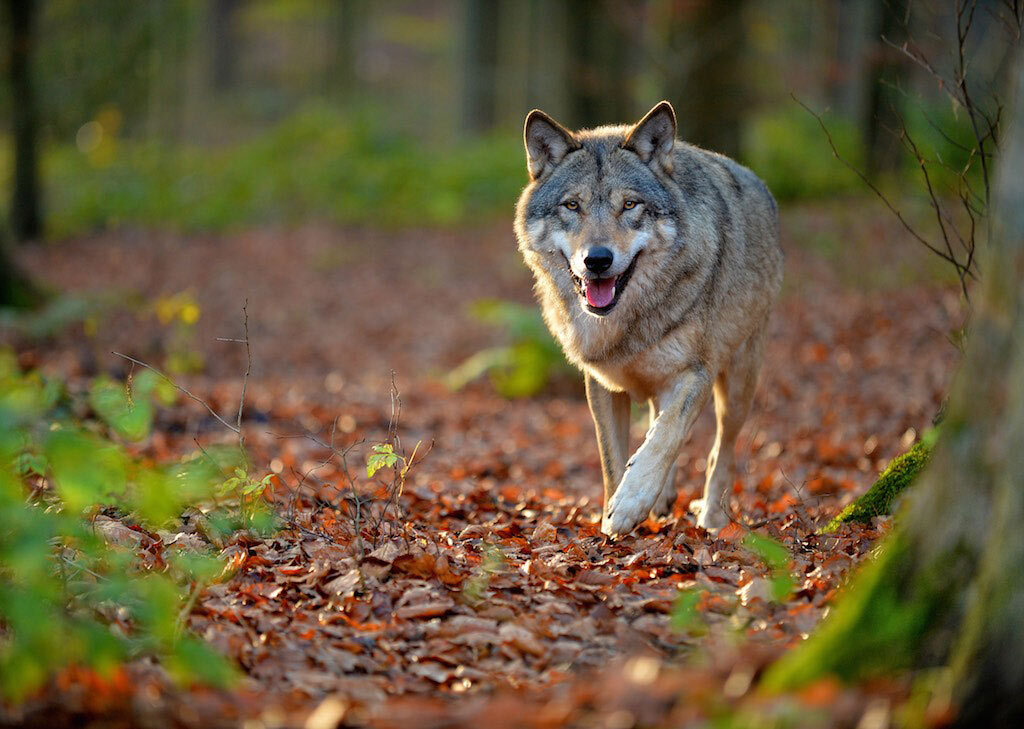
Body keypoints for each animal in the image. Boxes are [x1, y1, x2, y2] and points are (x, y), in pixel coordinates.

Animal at [514, 101, 783, 537]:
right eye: (572, 206)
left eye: (629, 205)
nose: (597, 259)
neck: (629, 323)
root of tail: (760, 183)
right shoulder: (601, 385)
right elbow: (612, 462)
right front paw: (613, 515)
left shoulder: (697, 373)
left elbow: (665, 438)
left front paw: (630, 504)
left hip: (740, 381)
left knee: (720, 451)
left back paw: (711, 518)